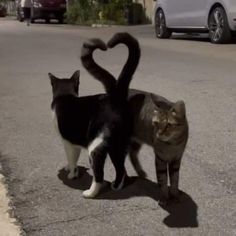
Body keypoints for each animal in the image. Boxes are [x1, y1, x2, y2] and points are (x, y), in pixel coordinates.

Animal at [48, 32, 139, 198]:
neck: (65, 96)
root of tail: (115, 98)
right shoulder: (74, 141)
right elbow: (73, 159)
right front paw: (69, 169)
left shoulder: (68, 141)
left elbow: (72, 159)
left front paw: (72, 174)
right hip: (118, 146)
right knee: (120, 168)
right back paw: (116, 186)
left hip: (96, 146)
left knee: (99, 173)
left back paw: (91, 192)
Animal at [82, 37, 189, 206]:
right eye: (156, 123)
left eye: (168, 125)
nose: (159, 134)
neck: (172, 144)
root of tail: (116, 92)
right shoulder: (160, 159)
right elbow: (163, 180)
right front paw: (165, 197)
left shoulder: (176, 159)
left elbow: (175, 179)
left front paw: (175, 195)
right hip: (121, 141)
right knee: (121, 160)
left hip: (133, 140)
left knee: (131, 156)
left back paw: (137, 173)